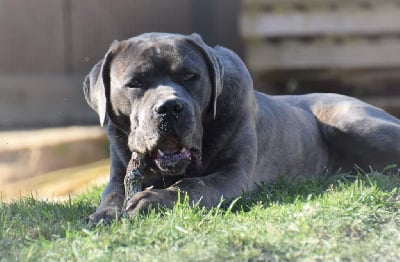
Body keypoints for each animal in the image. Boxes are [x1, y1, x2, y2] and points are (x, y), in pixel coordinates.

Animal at [84, 32, 400, 223]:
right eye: (135, 83)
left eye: (190, 76)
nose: (170, 107)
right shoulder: (117, 174)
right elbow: (113, 194)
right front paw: (103, 215)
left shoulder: (233, 175)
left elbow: (192, 185)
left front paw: (151, 199)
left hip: (355, 124)